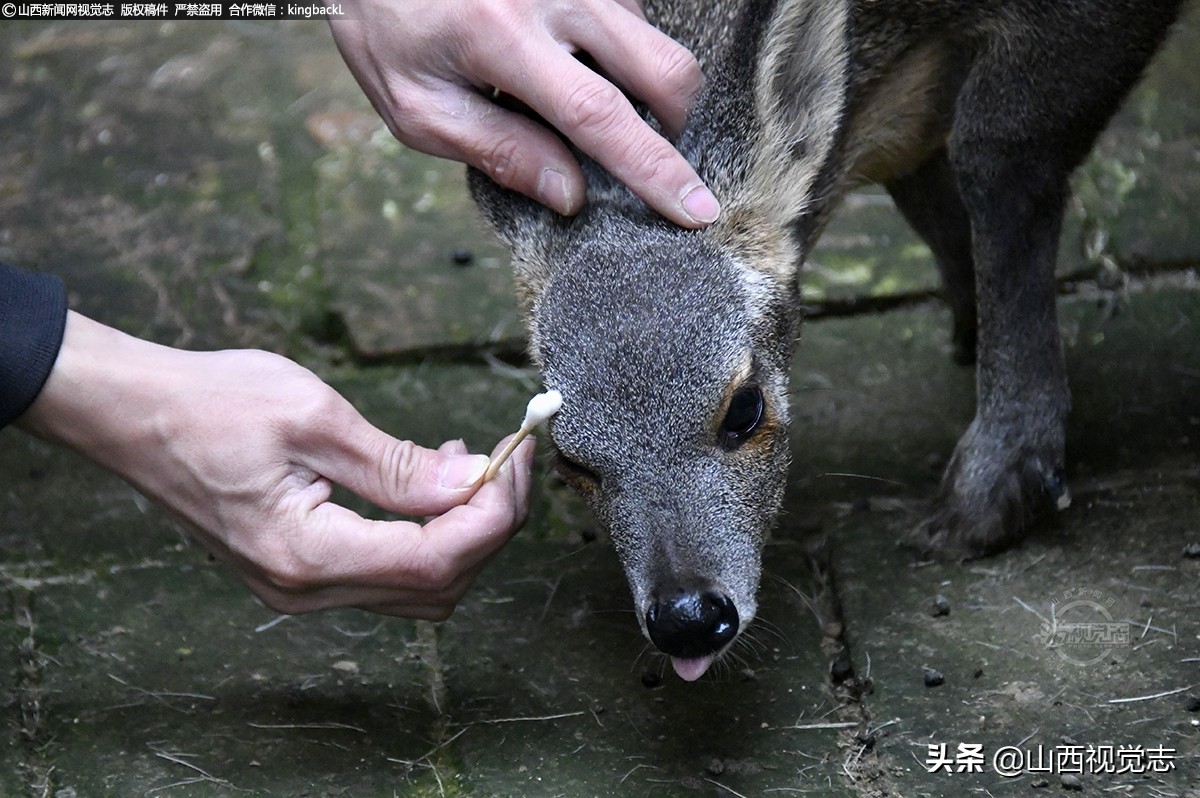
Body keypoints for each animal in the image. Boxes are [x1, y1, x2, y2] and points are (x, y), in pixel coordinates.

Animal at [465, 0, 1180, 676]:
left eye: (745, 409)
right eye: (569, 461)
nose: (688, 617)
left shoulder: (1080, 25)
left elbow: (996, 158)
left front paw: (991, 490)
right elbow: (925, 187)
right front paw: (970, 331)